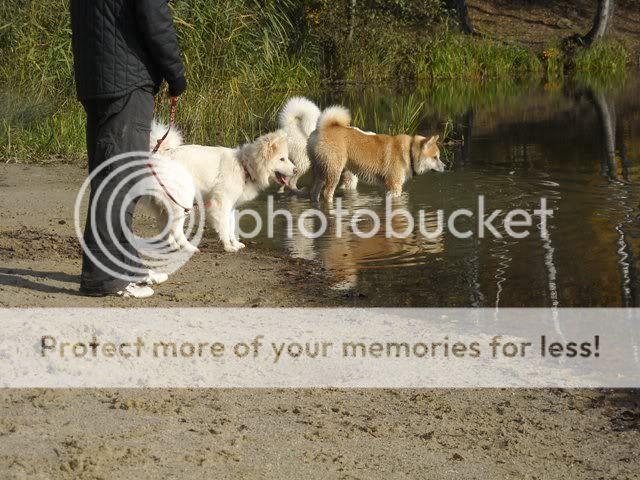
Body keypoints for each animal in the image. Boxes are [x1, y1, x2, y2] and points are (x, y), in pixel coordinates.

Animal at [146, 122, 296, 253]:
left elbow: (231, 226)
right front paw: (228, 246)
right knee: (177, 229)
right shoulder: (222, 203)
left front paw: (235, 243)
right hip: (182, 200)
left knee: (166, 226)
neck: (245, 166)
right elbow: (224, 226)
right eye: (282, 159)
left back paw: (174, 246)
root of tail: (161, 155)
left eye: (287, 158)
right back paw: (190, 248)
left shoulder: (231, 205)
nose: (296, 170)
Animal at [309, 106, 445, 204]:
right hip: (334, 172)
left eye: (438, 157)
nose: (445, 166)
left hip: (320, 172)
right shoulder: (394, 186)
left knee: (314, 192)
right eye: (435, 157)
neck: (409, 153)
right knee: (327, 193)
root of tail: (323, 128)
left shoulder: (387, 188)